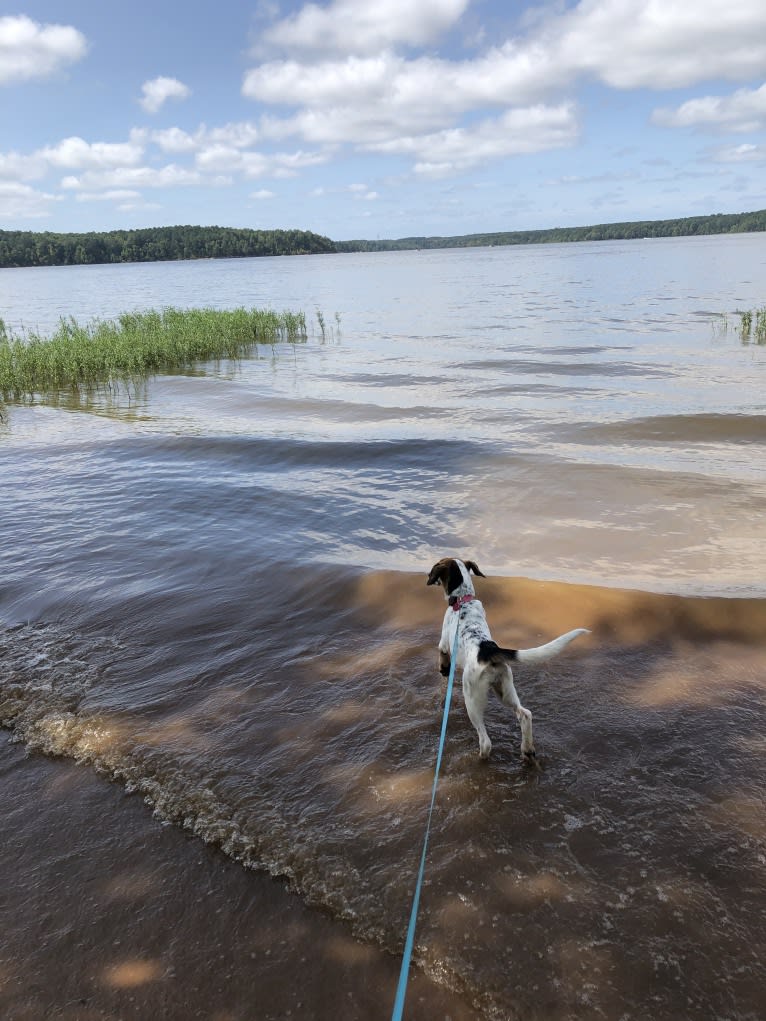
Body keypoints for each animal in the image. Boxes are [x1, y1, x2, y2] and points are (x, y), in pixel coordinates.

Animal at [426, 559, 588, 759]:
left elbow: (441, 653)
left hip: (472, 698)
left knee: (485, 741)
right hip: (505, 689)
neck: (463, 600)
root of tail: (489, 650)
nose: (428, 577)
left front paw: (444, 669)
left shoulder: (443, 642)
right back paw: (527, 749)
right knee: (525, 714)